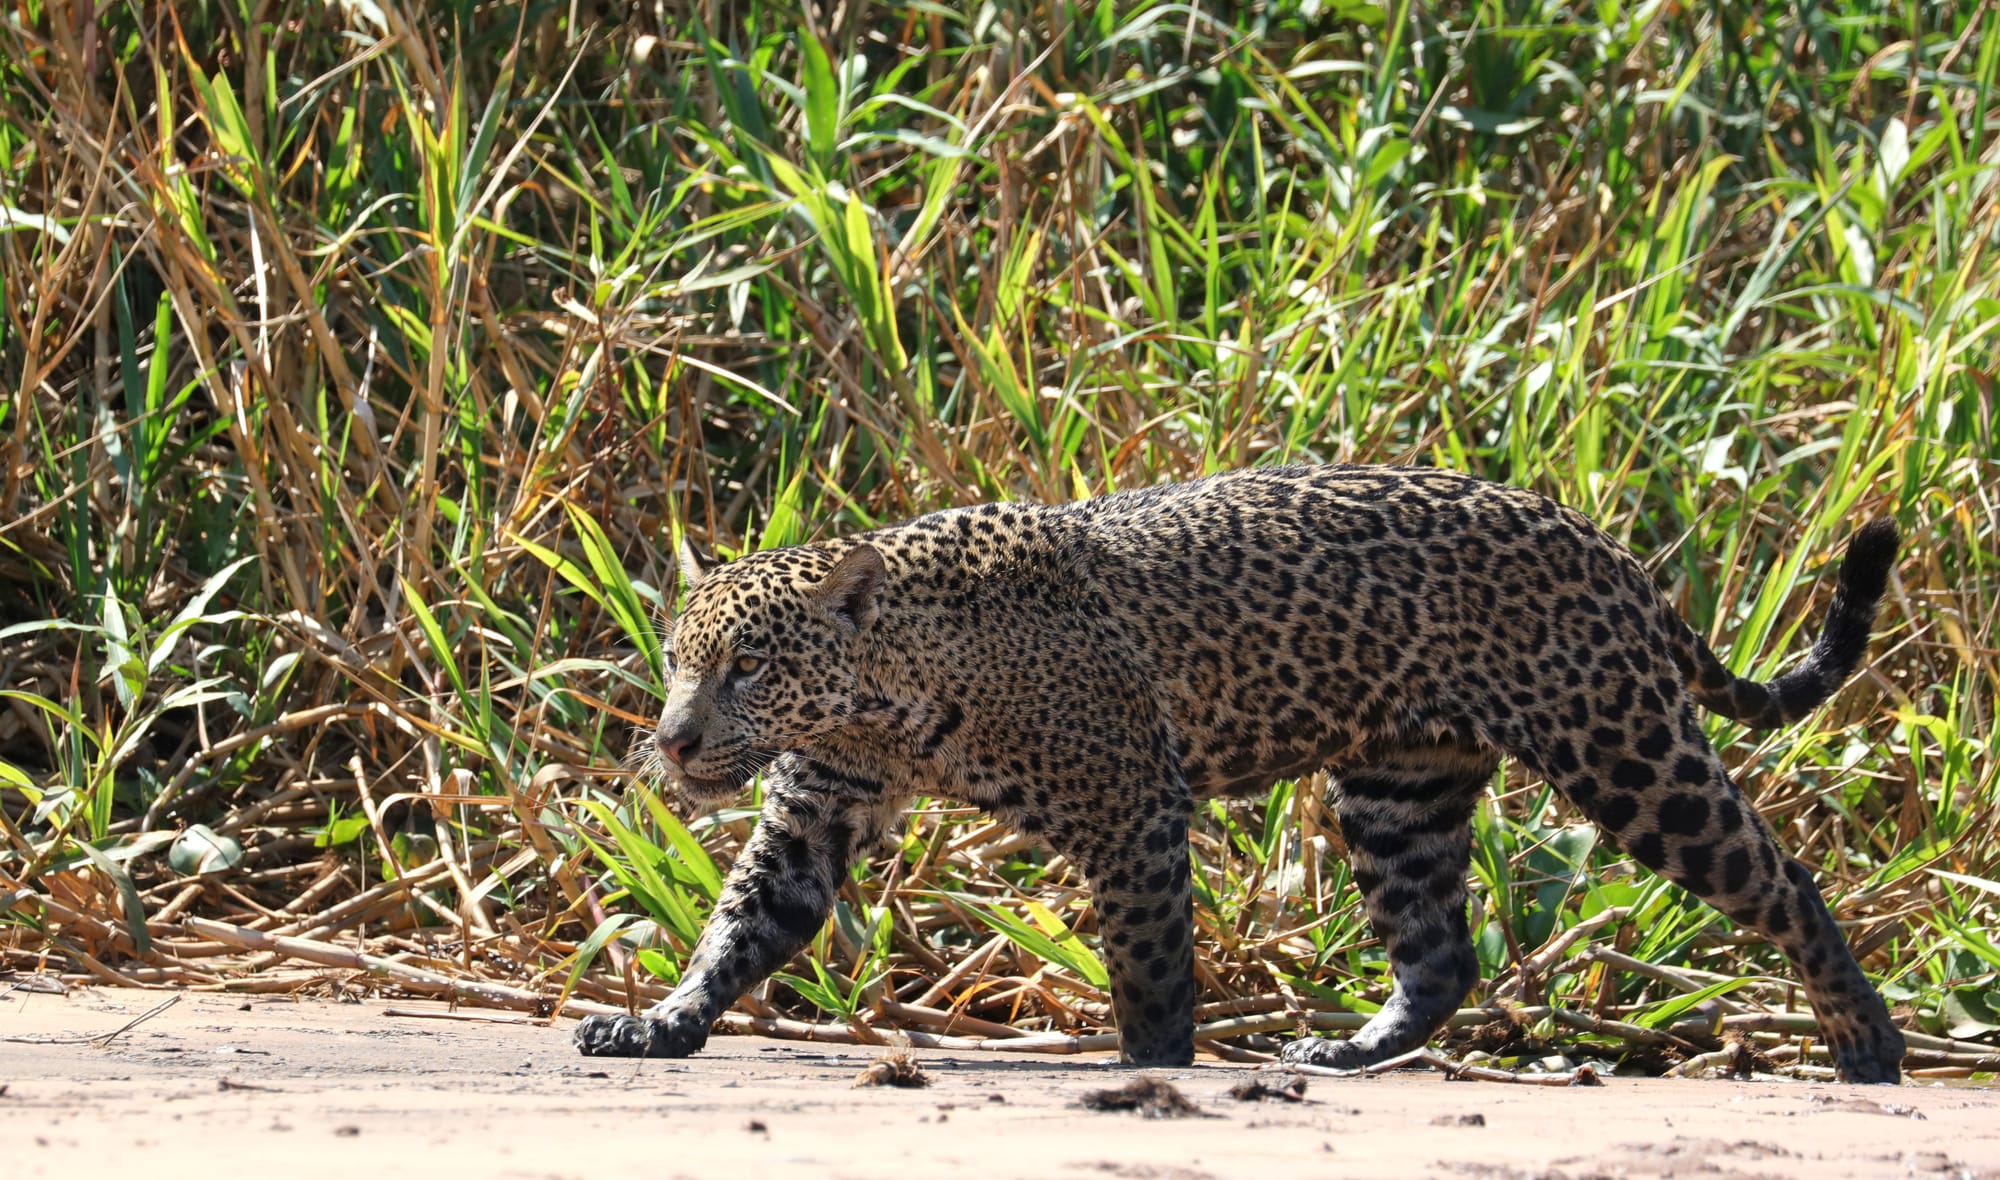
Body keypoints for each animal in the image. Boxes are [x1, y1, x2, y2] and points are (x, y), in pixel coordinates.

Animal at [573, 464, 1907, 1083]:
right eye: (680, 661)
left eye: (748, 666)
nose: (675, 741)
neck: (892, 700)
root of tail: (1609, 550)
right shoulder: (815, 808)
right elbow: (740, 925)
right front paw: (659, 1021)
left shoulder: (1130, 804)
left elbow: (1152, 958)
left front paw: (1155, 1064)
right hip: (1396, 786)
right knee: (1437, 949)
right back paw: (1348, 1052)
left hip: (1618, 744)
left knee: (1777, 876)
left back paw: (1864, 1041)